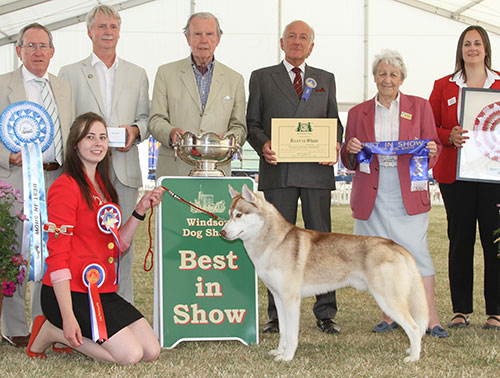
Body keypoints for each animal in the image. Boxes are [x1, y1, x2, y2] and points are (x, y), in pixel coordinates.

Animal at [221, 185, 428, 362]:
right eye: (229, 215)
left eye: (239, 215)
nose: (222, 232)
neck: (275, 242)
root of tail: (394, 244)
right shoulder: (279, 298)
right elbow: (283, 332)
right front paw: (280, 352)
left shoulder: (291, 299)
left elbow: (292, 333)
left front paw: (287, 357)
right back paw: (411, 350)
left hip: (388, 300)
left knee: (415, 327)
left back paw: (414, 357)